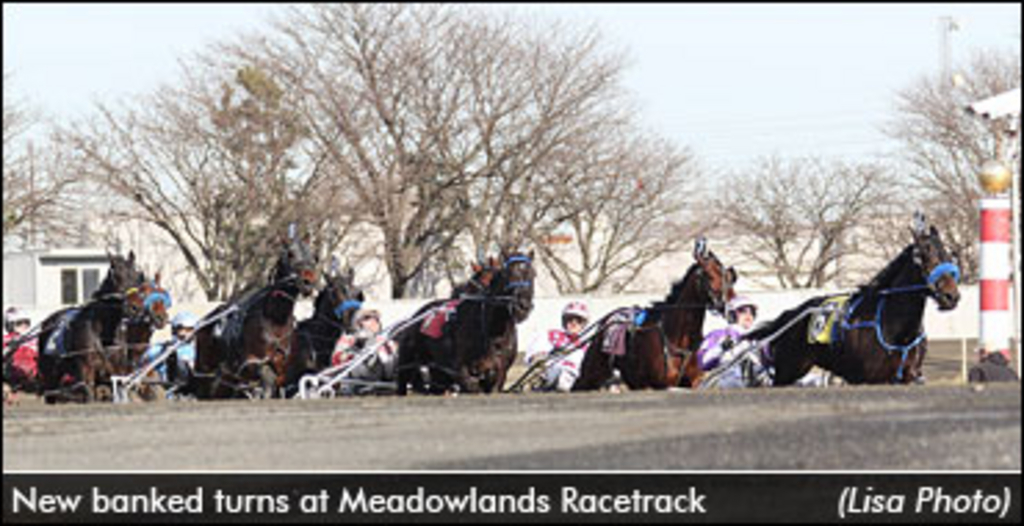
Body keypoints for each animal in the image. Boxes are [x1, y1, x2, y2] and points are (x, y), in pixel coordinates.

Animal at [35, 249, 146, 401]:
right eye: (117, 277)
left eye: (136, 276)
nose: (135, 307)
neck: (103, 334)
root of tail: (47, 322)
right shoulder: (86, 372)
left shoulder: (117, 372)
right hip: (50, 375)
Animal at [192, 228, 317, 397]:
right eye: (290, 254)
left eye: (314, 256)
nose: (308, 281)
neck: (275, 320)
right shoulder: (251, 363)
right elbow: (265, 376)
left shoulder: (282, 369)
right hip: (207, 373)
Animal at [577, 237, 737, 388]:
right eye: (710, 276)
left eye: (729, 278)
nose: (734, 311)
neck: (677, 339)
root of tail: (608, 320)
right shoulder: (655, 385)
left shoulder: (694, 382)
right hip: (592, 373)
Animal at [745, 214, 958, 382]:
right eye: (923, 256)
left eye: (948, 255)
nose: (951, 296)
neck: (896, 330)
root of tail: (791, 315)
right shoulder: (867, 378)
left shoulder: (907, 378)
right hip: (787, 371)